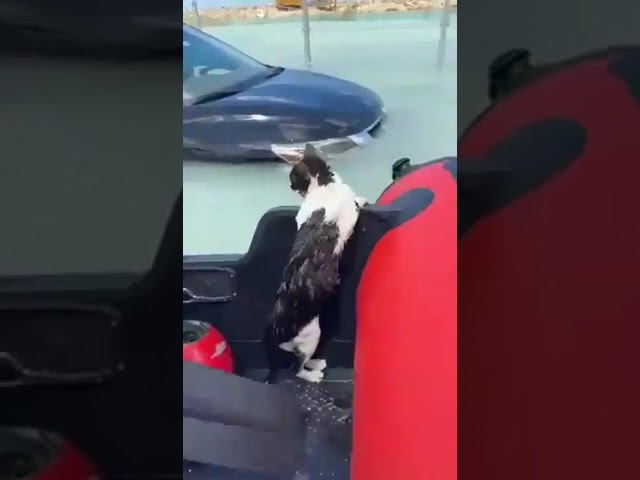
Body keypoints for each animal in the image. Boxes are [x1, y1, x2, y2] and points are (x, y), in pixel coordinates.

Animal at [262, 143, 368, 382]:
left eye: (293, 180)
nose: (292, 186)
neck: (323, 184)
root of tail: (274, 333)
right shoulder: (350, 210)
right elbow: (356, 201)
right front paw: (363, 198)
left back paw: (317, 363)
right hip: (312, 335)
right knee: (297, 369)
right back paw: (312, 374)